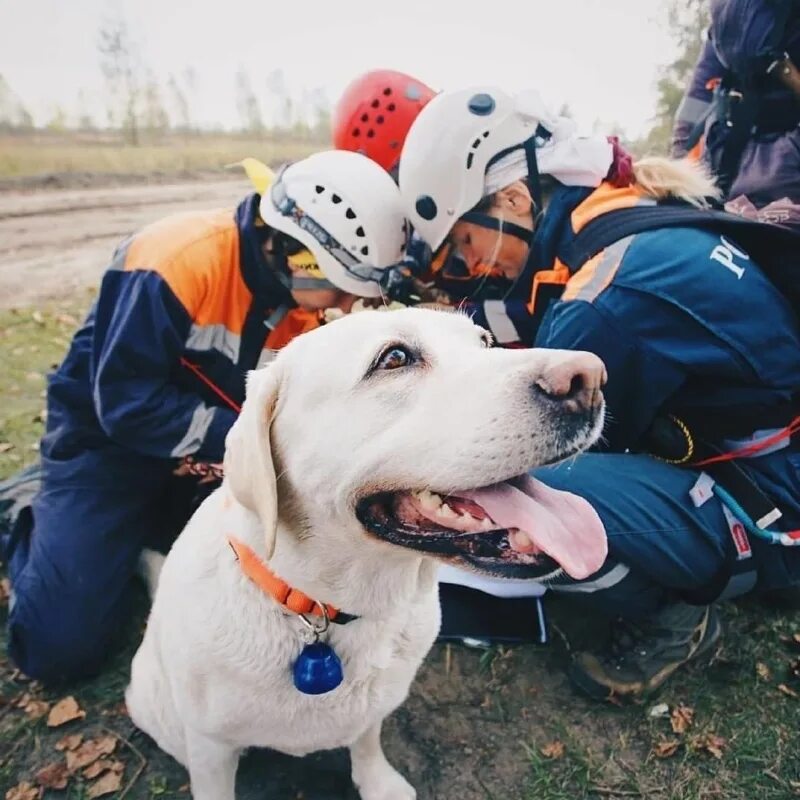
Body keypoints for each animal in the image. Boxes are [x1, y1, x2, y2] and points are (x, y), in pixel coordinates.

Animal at [128, 308, 608, 800]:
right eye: (394, 358)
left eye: (485, 342)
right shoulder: (210, 748)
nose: (589, 377)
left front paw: (377, 782)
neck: (326, 607)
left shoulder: (374, 705)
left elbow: (367, 738)